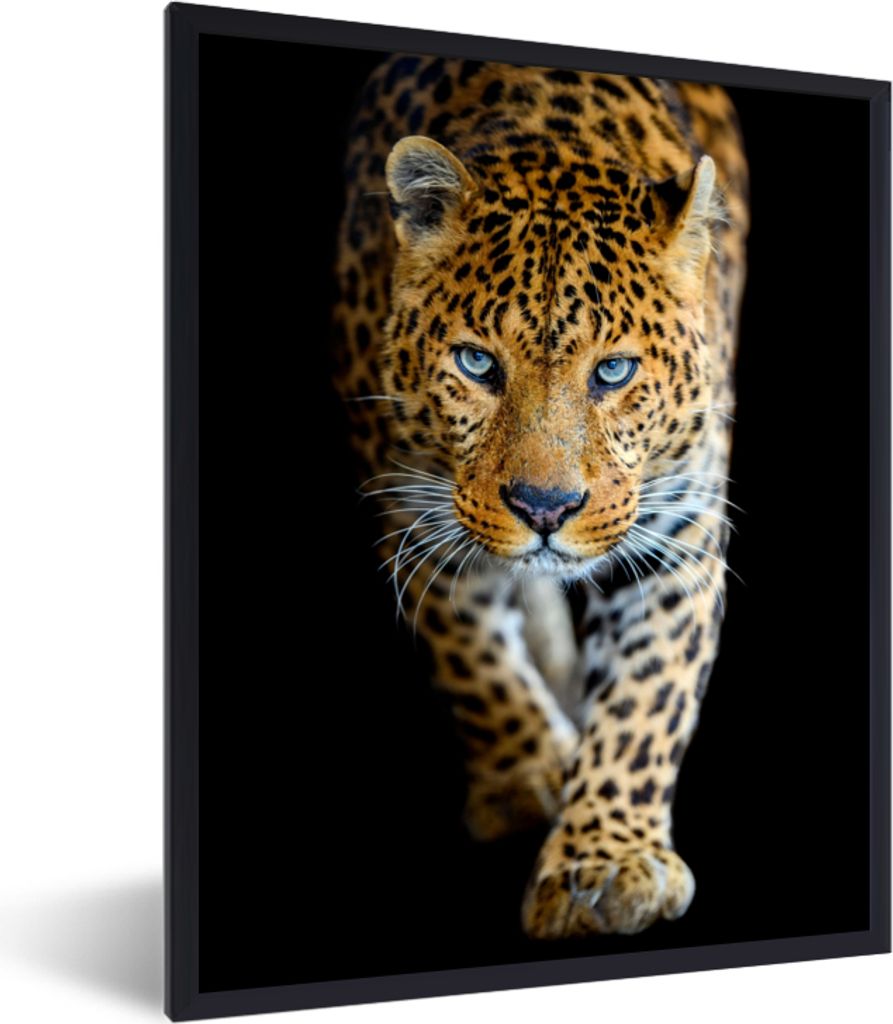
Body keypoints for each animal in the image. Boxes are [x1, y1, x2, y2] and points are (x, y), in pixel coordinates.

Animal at [330, 52, 749, 940]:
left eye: (613, 372)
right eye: (477, 364)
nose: (545, 509)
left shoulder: (681, 532)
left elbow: (647, 699)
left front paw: (606, 862)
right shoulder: (409, 506)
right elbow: (469, 656)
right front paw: (526, 777)